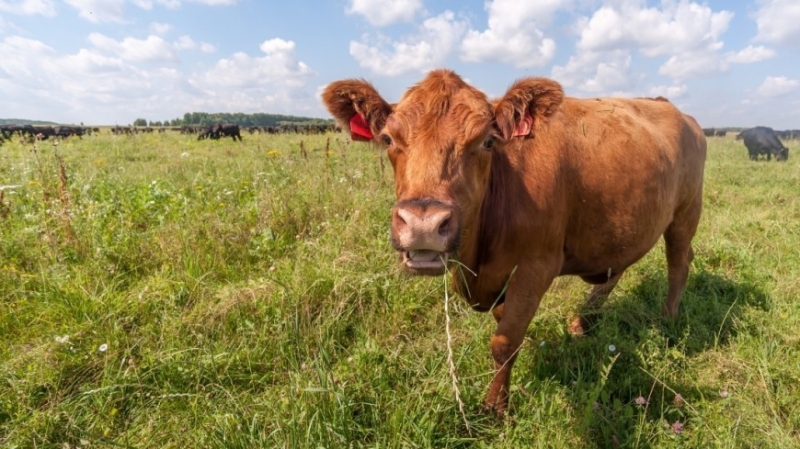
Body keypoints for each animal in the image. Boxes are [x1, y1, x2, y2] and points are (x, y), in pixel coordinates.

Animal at [322, 69, 707, 415]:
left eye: (487, 141)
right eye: (389, 139)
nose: (423, 224)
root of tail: (675, 110)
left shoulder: (537, 265)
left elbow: (505, 342)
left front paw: (495, 407)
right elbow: (503, 319)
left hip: (686, 212)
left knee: (678, 262)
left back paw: (667, 321)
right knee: (616, 270)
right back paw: (584, 321)